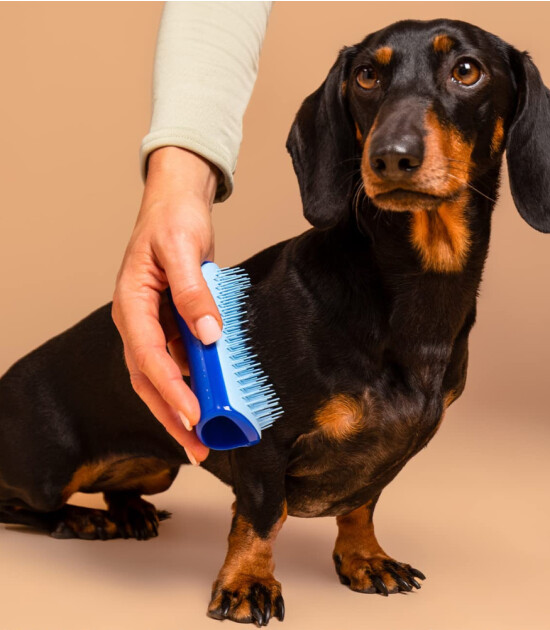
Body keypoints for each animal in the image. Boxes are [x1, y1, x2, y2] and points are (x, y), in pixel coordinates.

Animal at [1, 18, 550, 628]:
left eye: (467, 70)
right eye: (367, 75)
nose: (390, 157)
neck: (415, 291)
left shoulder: (388, 454)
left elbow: (362, 503)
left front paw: (365, 558)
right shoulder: (265, 440)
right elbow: (262, 515)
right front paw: (247, 583)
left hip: (159, 465)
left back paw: (130, 512)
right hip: (46, 471)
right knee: (18, 504)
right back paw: (78, 519)